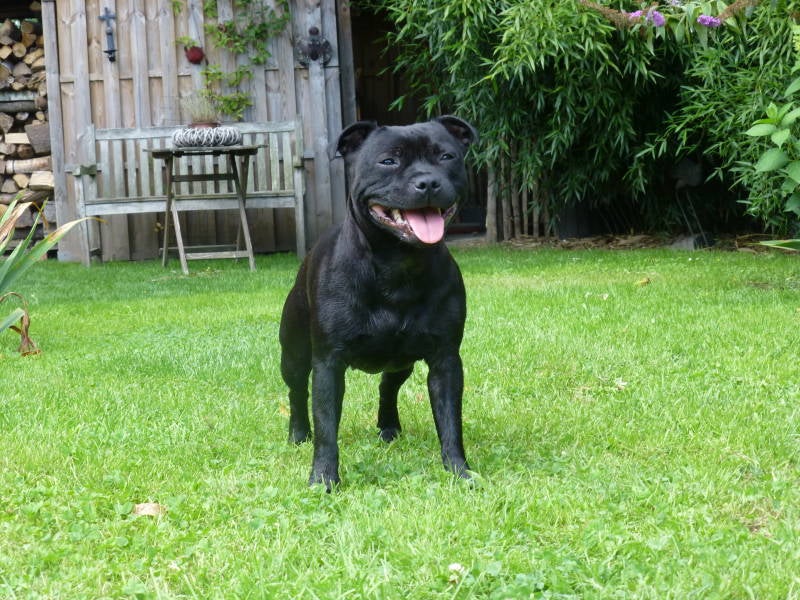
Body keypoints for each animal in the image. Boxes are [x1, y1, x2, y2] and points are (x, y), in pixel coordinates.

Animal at [279, 116, 477, 489]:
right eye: (388, 161)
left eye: (446, 156)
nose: (427, 182)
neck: (398, 265)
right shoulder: (328, 364)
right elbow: (326, 426)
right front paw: (323, 479)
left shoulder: (445, 361)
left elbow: (450, 422)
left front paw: (459, 471)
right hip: (294, 355)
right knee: (297, 393)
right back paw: (298, 434)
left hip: (401, 360)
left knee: (388, 386)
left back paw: (388, 427)